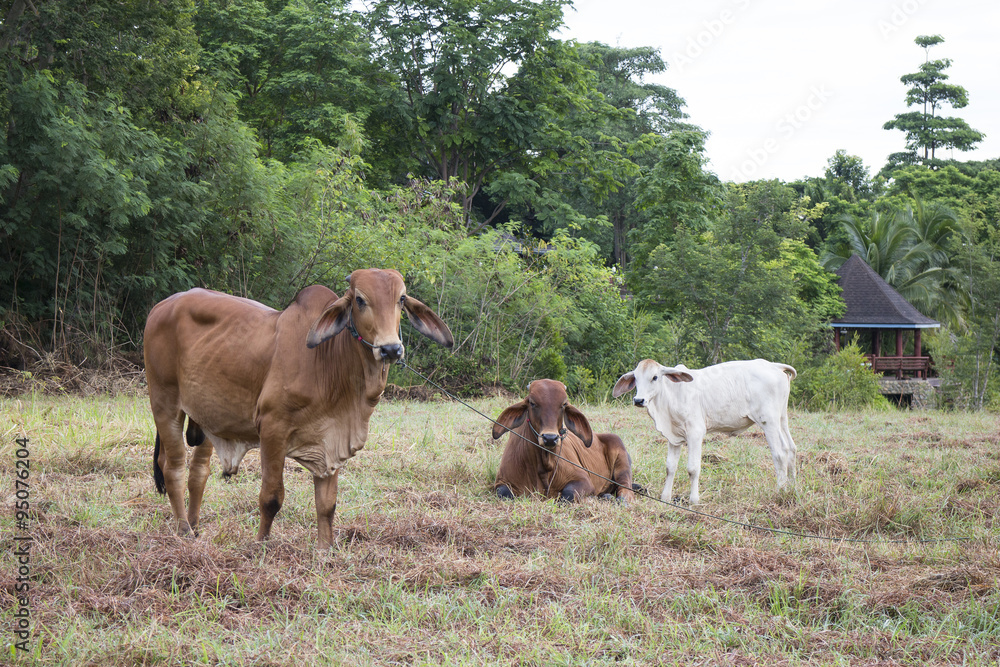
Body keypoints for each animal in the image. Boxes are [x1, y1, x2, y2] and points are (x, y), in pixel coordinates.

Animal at [143, 268, 454, 547]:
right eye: (360, 300)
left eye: (401, 299)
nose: (391, 349)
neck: (329, 362)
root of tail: (160, 307)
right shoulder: (272, 429)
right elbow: (271, 497)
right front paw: (260, 545)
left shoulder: (332, 439)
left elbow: (327, 505)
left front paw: (325, 551)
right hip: (165, 404)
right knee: (173, 467)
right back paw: (183, 530)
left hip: (208, 416)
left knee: (198, 472)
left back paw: (195, 527)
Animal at [491, 379, 636, 504]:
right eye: (532, 403)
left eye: (564, 404)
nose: (550, 438)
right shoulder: (501, 481)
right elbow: (504, 493)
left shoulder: (583, 480)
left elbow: (568, 494)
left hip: (621, 457)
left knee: (626, 488)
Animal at [612, 358, 796, 506]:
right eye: (636, 378)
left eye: (655, 377)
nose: (638, 400)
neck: (672, 394)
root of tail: (773, 365)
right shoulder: (673, 438)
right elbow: (670, 467)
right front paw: (665, 497)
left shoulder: (695, 432)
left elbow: (693, 468)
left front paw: (694, 500)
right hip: (781, 419)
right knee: (790, 448)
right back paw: (792, 488)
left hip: (768, 421)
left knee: (779, 454)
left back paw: (780, 491)